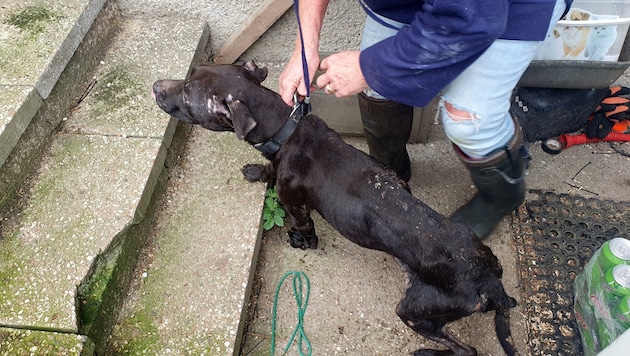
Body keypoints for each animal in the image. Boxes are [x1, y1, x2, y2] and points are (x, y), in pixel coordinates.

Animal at [152, 61, 520, 356]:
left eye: (188, 93)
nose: (156, 85)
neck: (285, 129)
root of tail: (490, 280)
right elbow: (268, 169)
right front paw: (257, 171)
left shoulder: (296, 204)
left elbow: (303, 227)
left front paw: (301, 241)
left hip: (416, 311)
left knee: (466, 350)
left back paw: (428, 353)